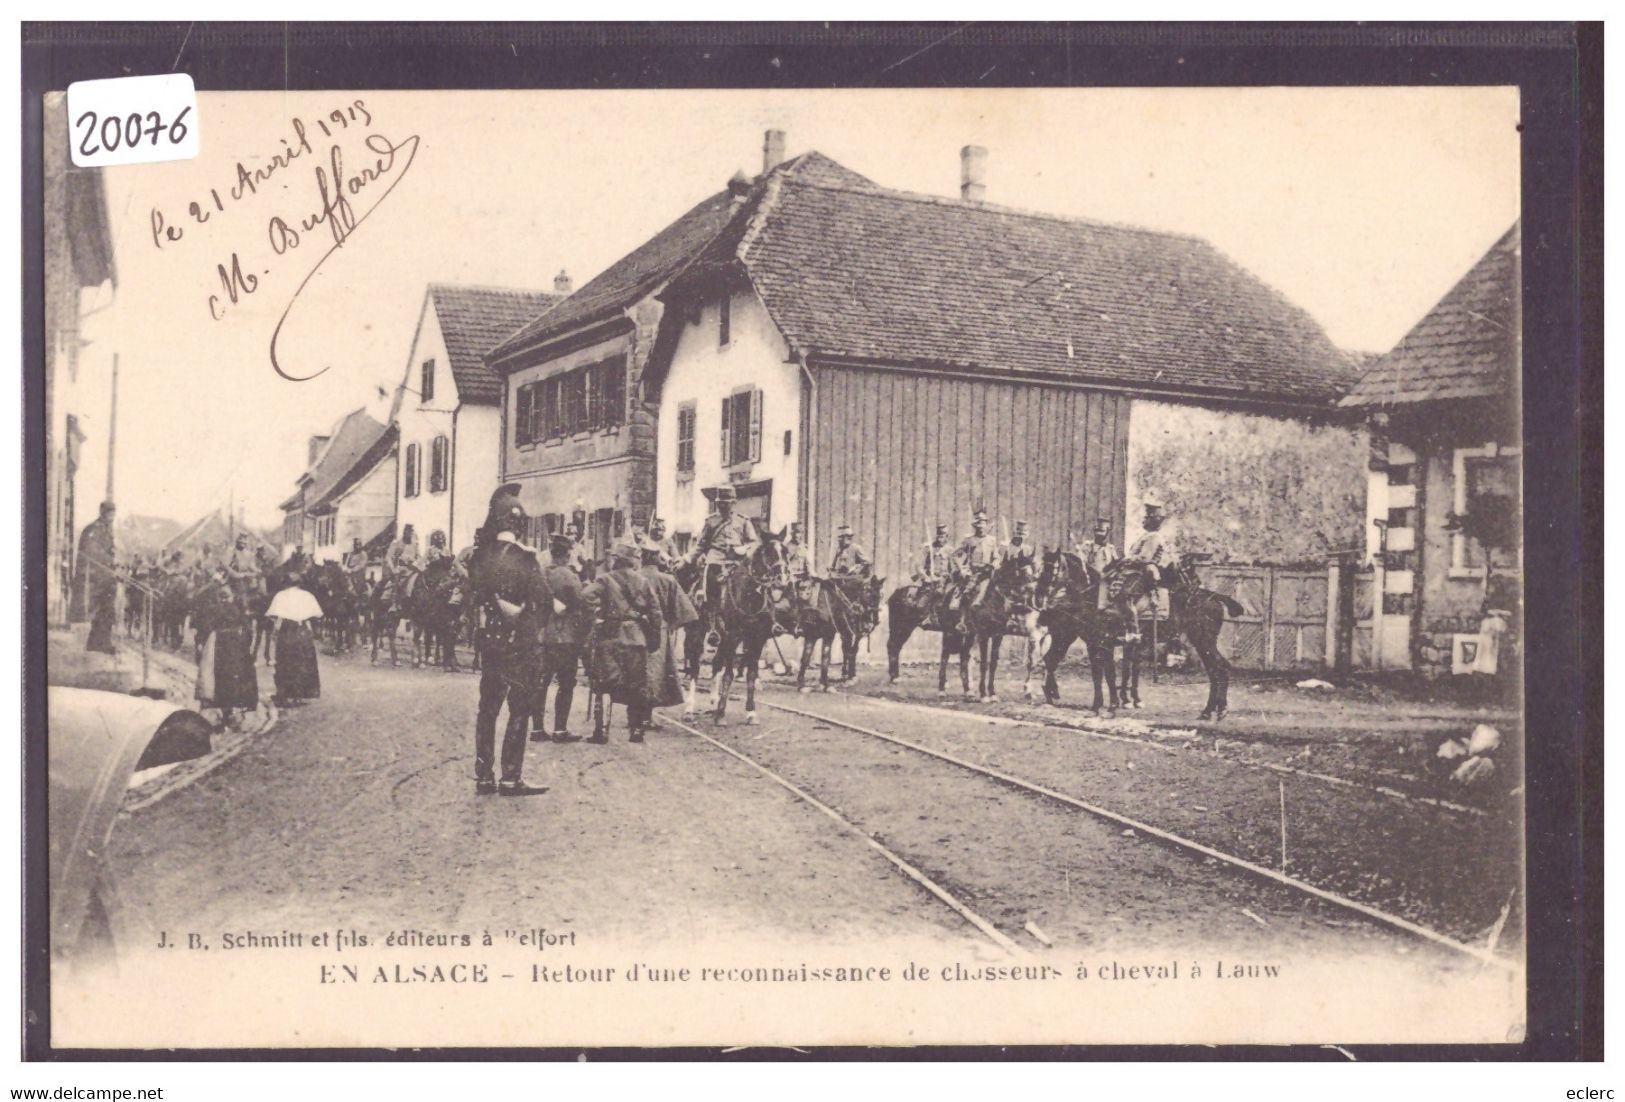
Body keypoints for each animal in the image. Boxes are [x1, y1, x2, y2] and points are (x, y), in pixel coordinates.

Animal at [1105, 555, 1241, 721]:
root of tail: (1214, 597)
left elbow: (1125, 671)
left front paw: (1127, 700)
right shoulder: (1130, 644)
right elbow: (1128, 669)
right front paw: (1128, 700)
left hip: (1203, 642)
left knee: (1219, 669)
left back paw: (1214, 710)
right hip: (1204, 644)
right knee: (1218, 669)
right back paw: (1214, 710)